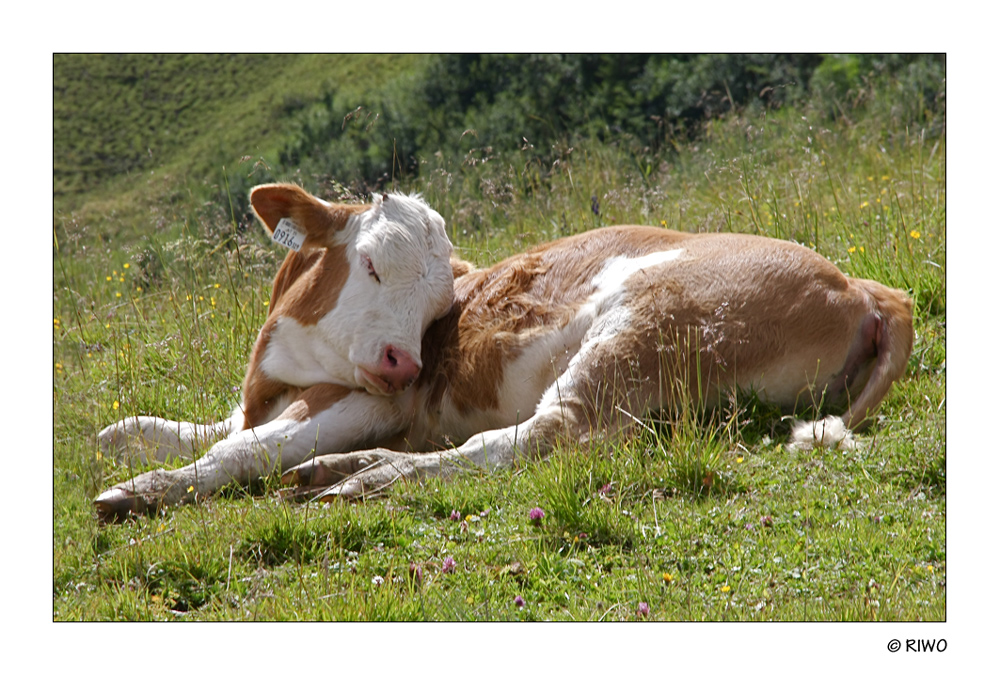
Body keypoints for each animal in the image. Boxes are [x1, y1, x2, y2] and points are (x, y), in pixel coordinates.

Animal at [95, 185, 916, 524]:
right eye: (372, 266)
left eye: (437, 309)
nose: (405, 363)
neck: (273, 372)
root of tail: (864, 285)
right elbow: (193, 429)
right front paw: (126, 437)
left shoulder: (370, 402)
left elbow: (238, 451)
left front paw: (142, 489)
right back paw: (348, 470)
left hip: (641, 322)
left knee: (541, 434)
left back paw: (363, 476)